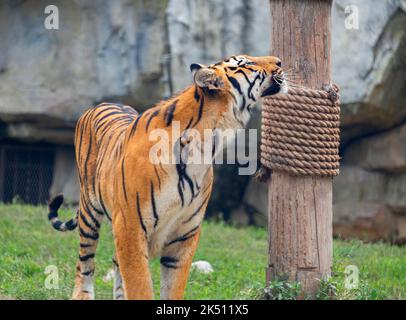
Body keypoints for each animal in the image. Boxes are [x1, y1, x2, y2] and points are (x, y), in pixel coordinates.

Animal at [47, 55, 288, 300]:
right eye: (247, 63)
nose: (279, 61)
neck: (208, 142)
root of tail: (101, 104)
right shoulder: (130, 226)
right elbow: (140, 285)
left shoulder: (184, 235)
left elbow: (172, 287)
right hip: (90, 210)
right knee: (85, 261)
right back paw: (82, 294)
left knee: (114, 260)